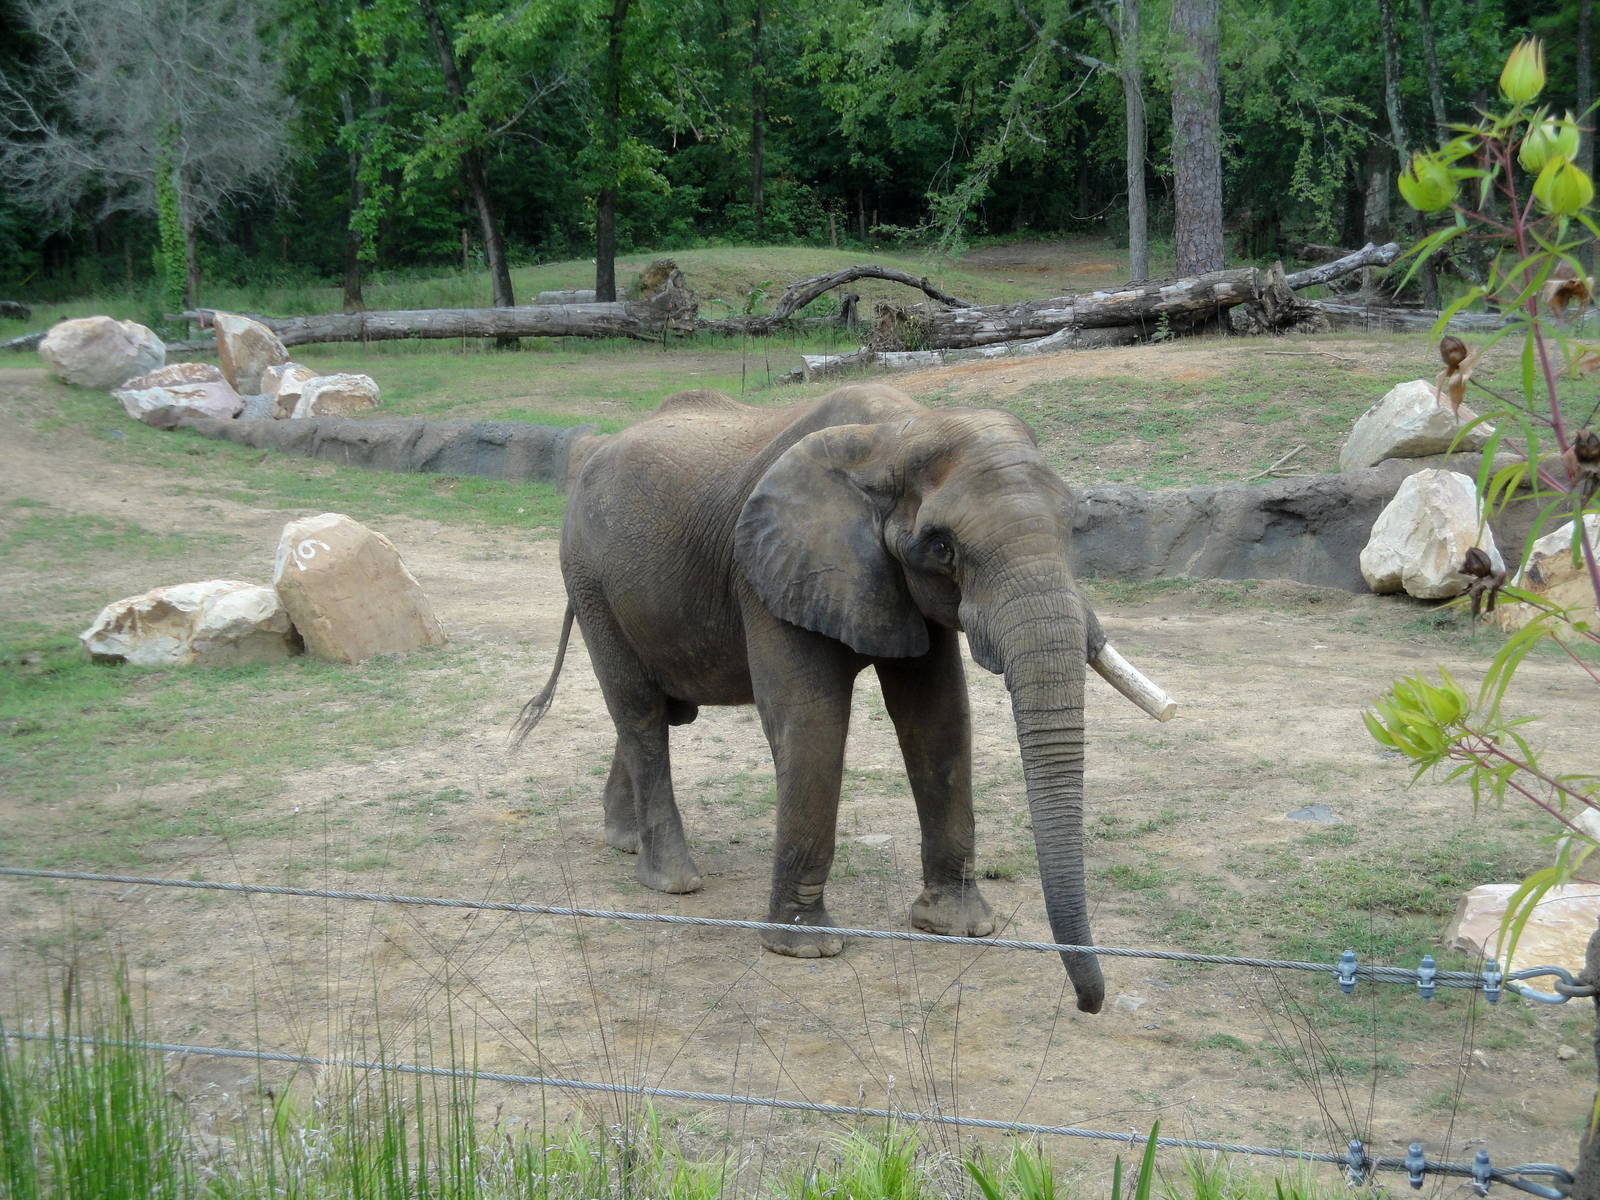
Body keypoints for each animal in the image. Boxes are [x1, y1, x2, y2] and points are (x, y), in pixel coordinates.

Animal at [517, 383, 1173, 1015]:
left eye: (1072, 526)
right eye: (942, 547)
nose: (1088, 1004)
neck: (896, 435)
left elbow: (938, 718)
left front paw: (958, 927)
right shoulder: (771, 567)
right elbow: (812, 722)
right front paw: (804, 947)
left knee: (659, 712)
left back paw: (624, 842)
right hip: (588, 576)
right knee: (641, 712)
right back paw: (672, 880)